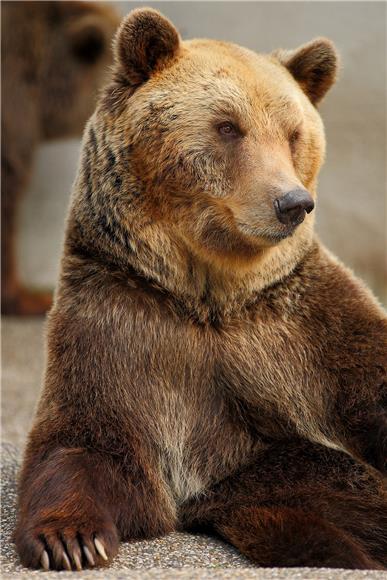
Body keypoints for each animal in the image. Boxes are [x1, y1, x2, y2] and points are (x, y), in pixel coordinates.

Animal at [14, 7, 387, 572]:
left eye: (293, 133)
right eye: (228, 126)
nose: (292, 202)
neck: (210, 295)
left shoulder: (308, 327)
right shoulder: (123, 322)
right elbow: (86, 444)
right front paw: (72, 540)